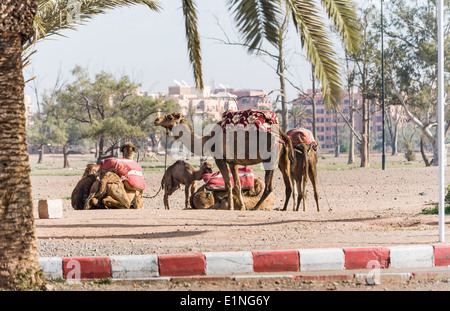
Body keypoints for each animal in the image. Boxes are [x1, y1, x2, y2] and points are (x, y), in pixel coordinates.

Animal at [155, 111, 296, 211]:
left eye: (170, 117)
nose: (156, 120)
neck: (207, 140)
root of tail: (281, 133)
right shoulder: (233, 162)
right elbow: (237, 184)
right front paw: (241, 207)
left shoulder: (220, 159)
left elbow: (229, 184)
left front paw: (231, 207)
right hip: (283, 158)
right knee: (288, 183)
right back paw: (284, 208)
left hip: (270, 157)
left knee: (269, 186)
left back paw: (256, 207)